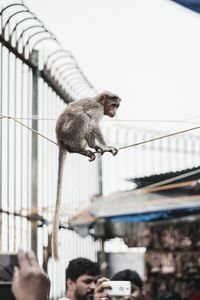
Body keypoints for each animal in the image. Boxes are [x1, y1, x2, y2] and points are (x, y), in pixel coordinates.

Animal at [50, 91, 121, 258]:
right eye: (113, 105)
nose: (114, 112)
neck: (98, 100)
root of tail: (60, 141)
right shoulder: (97, 109)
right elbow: (94, 124)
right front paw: (106, 147)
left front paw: (100, 147)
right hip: (72, 135)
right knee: (84, 118)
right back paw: (84, 148)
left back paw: (91, 149)